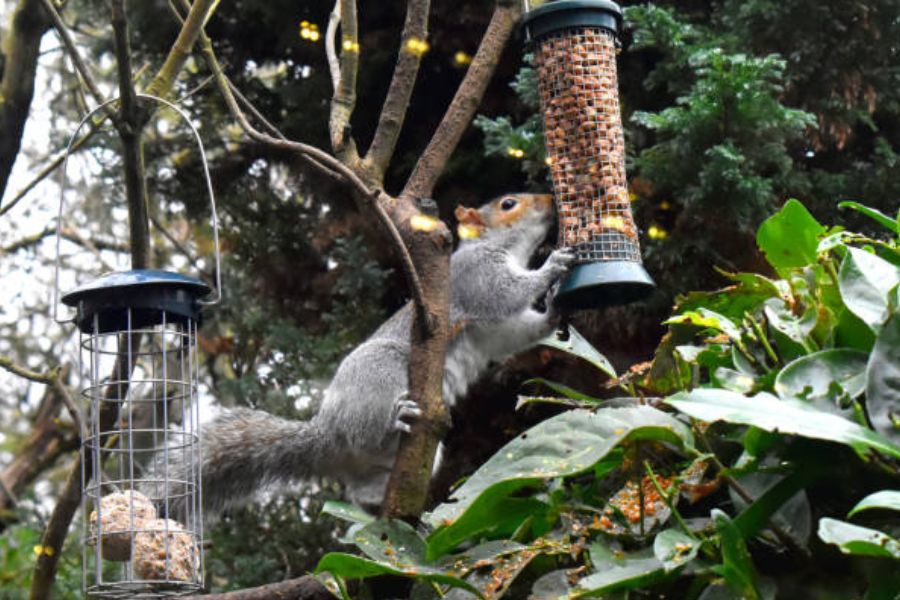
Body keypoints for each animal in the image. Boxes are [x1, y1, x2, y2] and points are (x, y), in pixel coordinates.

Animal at [158, 195, 572, 512]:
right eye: (508, 204)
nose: (549, 200)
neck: (503, 249)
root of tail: (328, 433)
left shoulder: (493, 332)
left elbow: (514, 334)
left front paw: (554, 312)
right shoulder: (476, 276)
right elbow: (505, 292)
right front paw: (553, 265)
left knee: (358, 490)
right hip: (380, 372)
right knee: (366, 433)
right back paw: (395, 419)